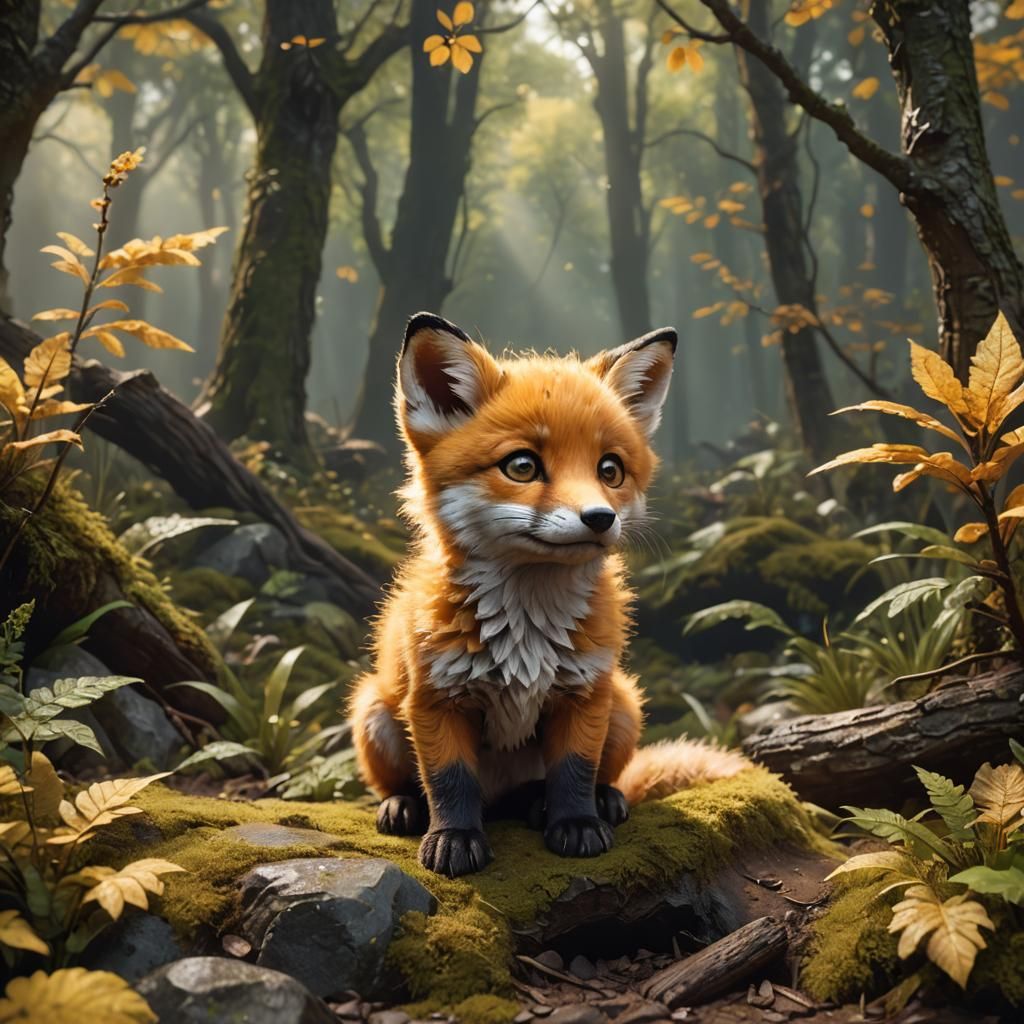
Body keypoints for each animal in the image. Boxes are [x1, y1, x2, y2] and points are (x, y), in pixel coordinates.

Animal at [349, 312, 749, 877]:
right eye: (522, 466)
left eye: (610, 469)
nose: (601, 518)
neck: (526, 628)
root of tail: (501, 800)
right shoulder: (434, 700)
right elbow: (449, 781)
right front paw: (454, 837)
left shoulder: (584, 694)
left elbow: (574, 771)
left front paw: (576, 823)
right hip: (374, 712)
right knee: (411, 783)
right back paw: (403, 805)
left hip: (623, 705)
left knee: (593, 779)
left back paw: (582, 802)